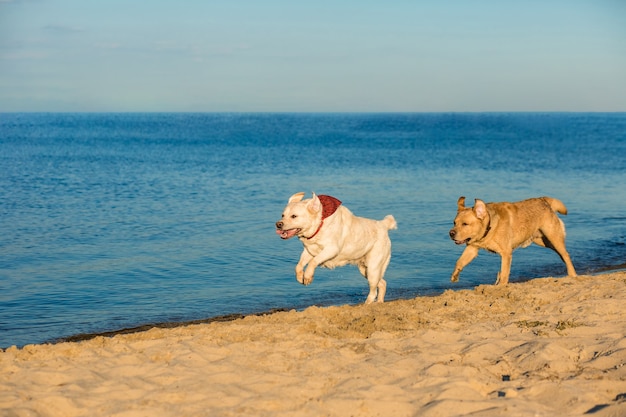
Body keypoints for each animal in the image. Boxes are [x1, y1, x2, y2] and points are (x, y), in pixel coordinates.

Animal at [448, 197, 576, 284]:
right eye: (454, 223)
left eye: (465, 224)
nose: (451, 233)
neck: (490, 227)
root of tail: (543, 200)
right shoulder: (472, 247)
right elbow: (459, 261)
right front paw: (455, 275)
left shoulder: (506, 253)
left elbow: (504, 273)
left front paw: (501, 287)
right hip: (544, 241)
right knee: (563, 254)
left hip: (553, 237)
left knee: (565, 254)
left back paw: (572, 274)